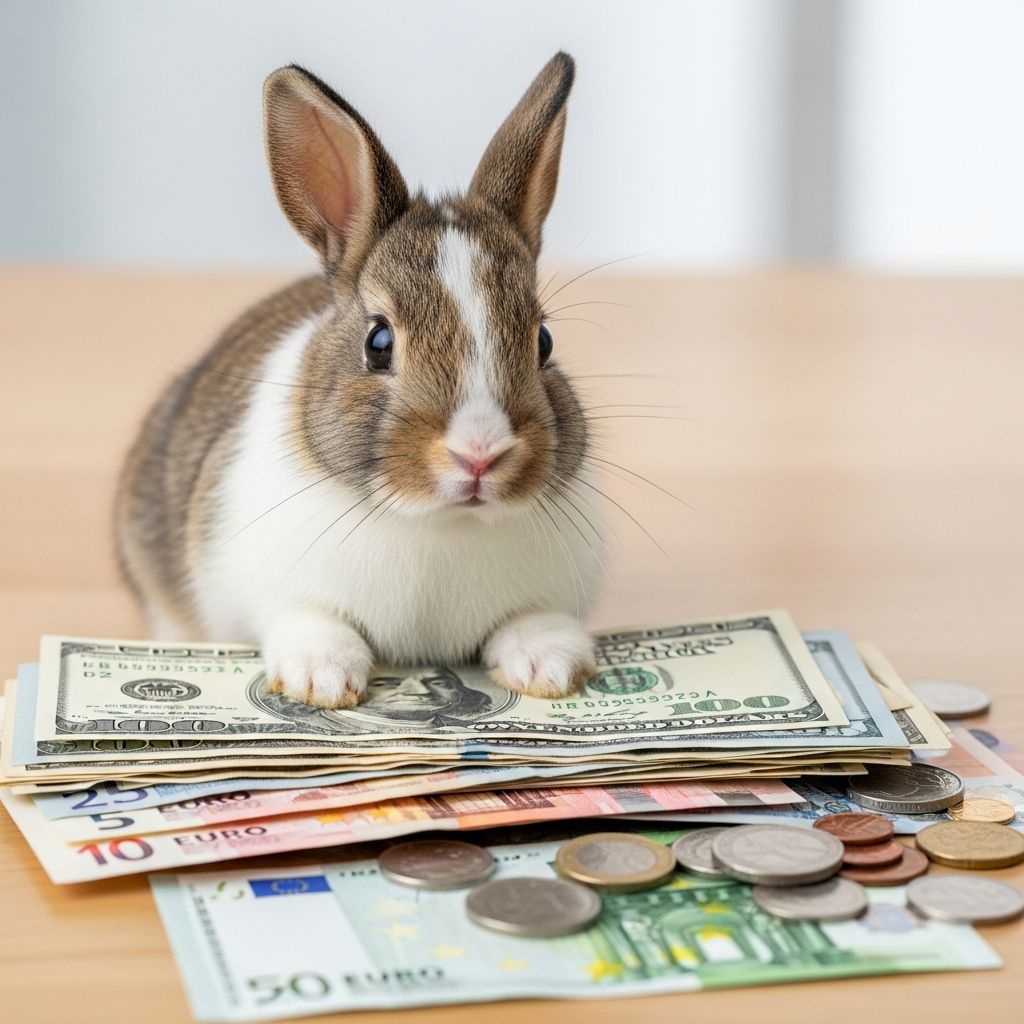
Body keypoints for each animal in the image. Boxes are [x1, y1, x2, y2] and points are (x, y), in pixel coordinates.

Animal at [115, 52, 603, 710]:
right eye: (379, 343)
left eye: (544, 341)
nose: (479, 456)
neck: (438, 522)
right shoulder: (274, 591)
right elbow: (311, 622)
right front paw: (320, 679)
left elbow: (533, 621)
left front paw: (548, 667)